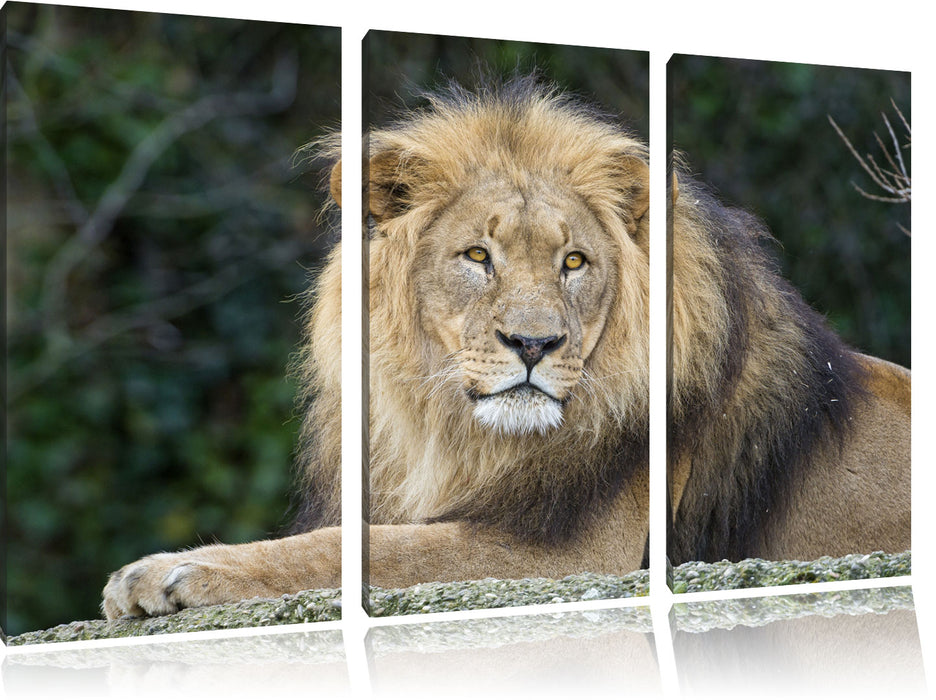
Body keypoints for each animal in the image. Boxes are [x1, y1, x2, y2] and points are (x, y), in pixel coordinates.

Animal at [102, 75, 908, 616]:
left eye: (573, 262)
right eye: (477, 256)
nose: (533, 343)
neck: (459, 436)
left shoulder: (568, 555)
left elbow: (355, 547)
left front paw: (172, 571)